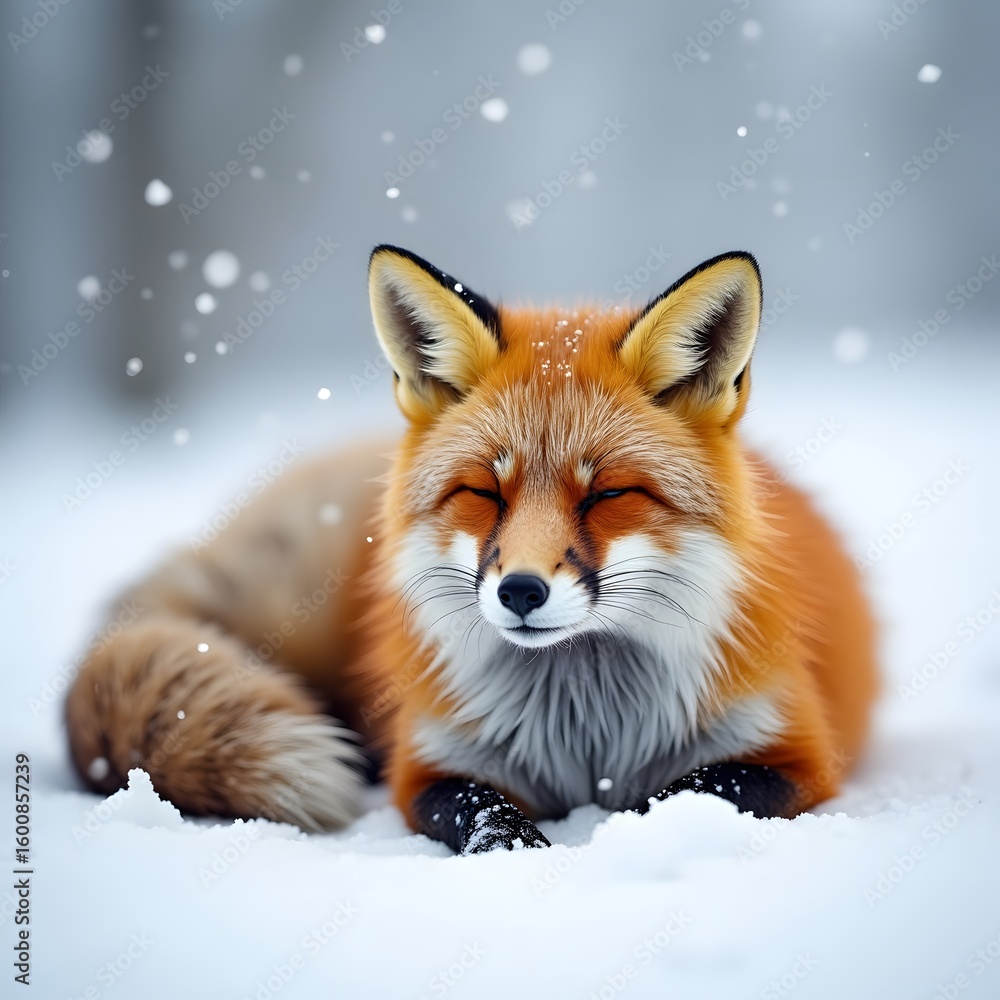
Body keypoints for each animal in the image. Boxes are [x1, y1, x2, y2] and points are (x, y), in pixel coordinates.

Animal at [65, 245, 878, 853]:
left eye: (606, 494)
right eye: (485, 492)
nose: (520, 590)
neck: (589, 735)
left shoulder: (795, 755)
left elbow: (691, 791)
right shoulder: (430, 764)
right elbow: (477, 809)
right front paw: (514, 847)